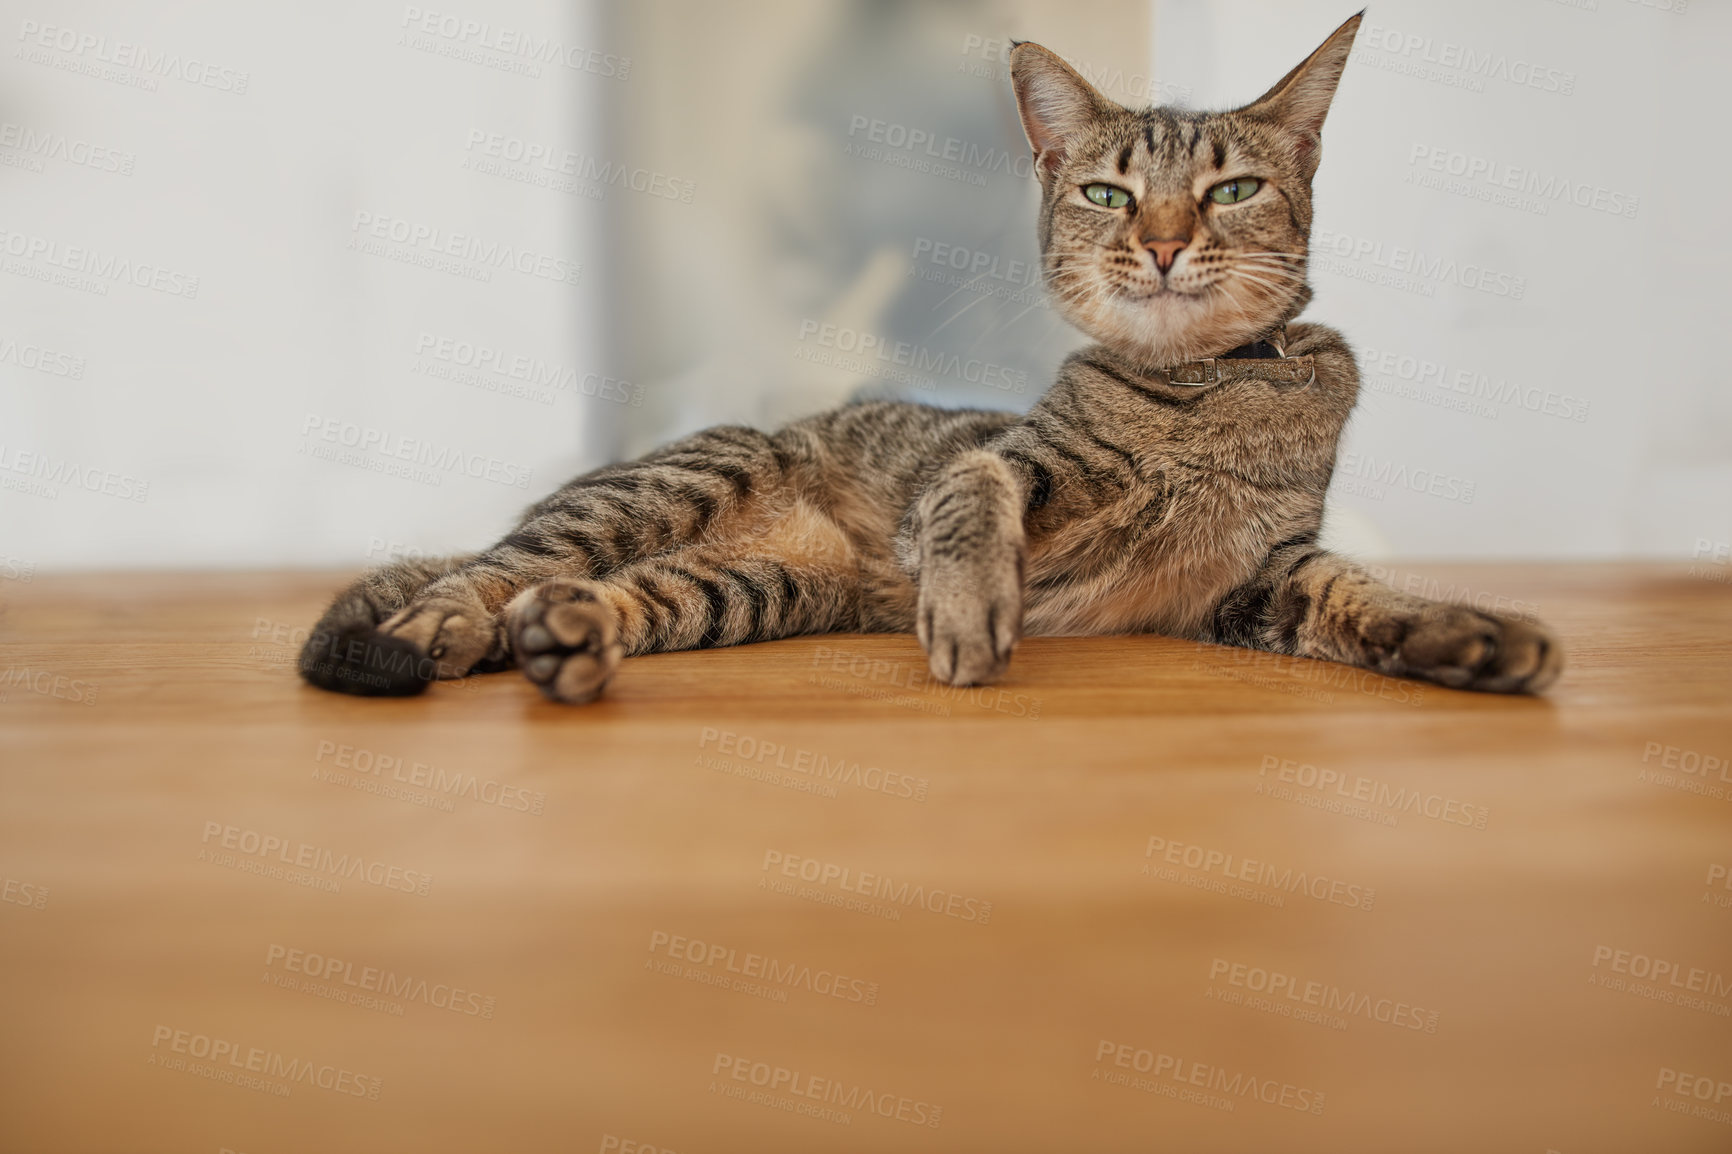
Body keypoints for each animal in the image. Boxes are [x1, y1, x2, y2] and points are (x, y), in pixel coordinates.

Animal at [294, 15, 1558, 700]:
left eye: (1233, 190)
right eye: (1108, 193)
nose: (1159, 243)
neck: (1200, 397)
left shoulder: (1258, 575)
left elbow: (1363, 594)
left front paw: (1470, 632)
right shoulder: (996, 464)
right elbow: (972, 490)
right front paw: (968, 610)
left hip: (747, 590)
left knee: (570, 592)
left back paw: (563, 638)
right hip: (665, 488)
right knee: (480, 572)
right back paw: (439, 632)